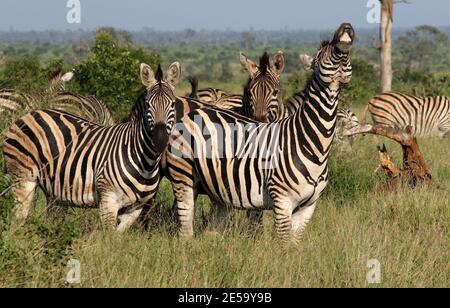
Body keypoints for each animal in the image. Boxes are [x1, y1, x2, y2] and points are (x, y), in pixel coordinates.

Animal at [3, 62, 181, 231]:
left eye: (173, 105)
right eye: (148, 105)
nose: (160, 140)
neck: (145, 161)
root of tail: (31, 113)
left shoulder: (135, 208)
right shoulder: (108, 200)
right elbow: (108, 238)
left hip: (52, 188)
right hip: (23, 178)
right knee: (17, 220)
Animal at [165, 22, 356, 242]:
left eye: (275, 92)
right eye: (320, 55)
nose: (346, 26)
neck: (313, 144)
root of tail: (195, 111)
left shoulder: (308, 206)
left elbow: (295, 243)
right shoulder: (282, 200)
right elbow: (283, 242)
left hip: (217, 188)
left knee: (213, 227)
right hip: (183, 177)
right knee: (185, 225)